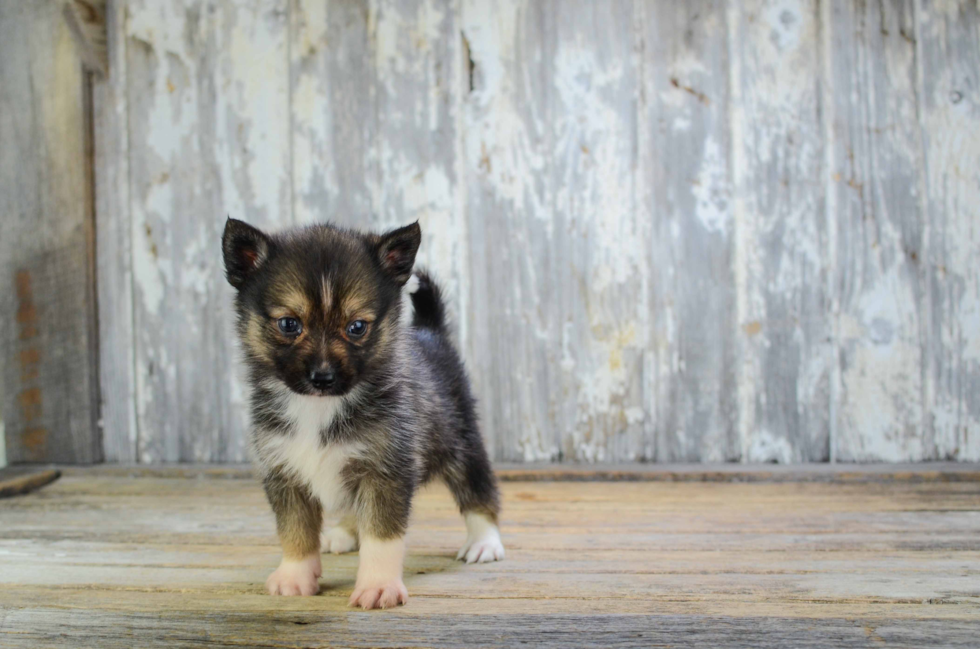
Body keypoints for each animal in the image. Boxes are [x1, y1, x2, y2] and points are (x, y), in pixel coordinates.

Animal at [223, 218, 506, 608]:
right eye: (289, 324)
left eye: (356, 327)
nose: (322, 378)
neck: (319, 408)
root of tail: (430, 331)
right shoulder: (284, 471)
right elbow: (294, 530)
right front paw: (295, 576)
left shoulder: (386, 470)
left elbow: (382, 537)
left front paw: (378, 586)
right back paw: (343, 533)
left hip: (461, 439)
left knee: (478, 489)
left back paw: (484, 541)